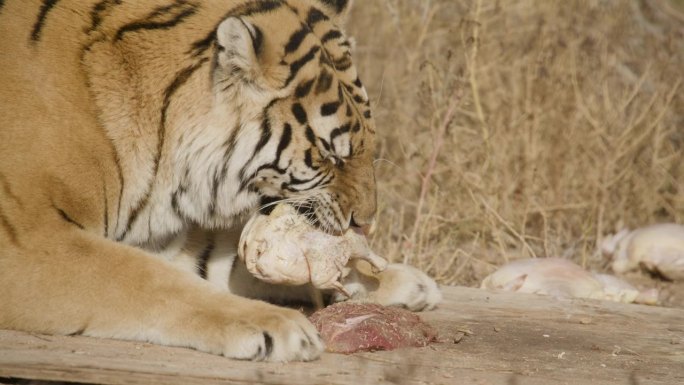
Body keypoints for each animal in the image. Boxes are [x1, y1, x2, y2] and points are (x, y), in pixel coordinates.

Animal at [0, 0, 438, 360]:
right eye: (332, 155)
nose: (365, 221)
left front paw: (404, 281)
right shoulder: (29, 241)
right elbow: (151, 280)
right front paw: (278, 326)